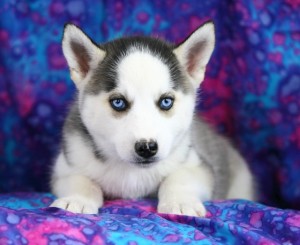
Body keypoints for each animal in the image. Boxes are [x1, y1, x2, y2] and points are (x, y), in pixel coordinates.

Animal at [50, 21, 254, 216]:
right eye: (118, 102)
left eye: (166, 101)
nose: (147, 148)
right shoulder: (67, 164)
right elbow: (81, 180)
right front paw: (77, 199)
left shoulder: (197, 164)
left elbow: (178, 178)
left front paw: (180, 203)